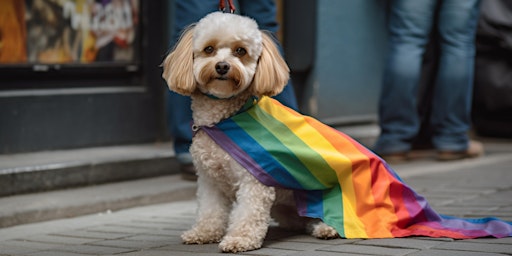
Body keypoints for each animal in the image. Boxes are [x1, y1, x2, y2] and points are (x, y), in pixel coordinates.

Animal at [162, 11, 338, 252]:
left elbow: (248, 213)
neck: (222, 120)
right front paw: (204, 233)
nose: (222, 66)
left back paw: (326, 228)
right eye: (209, 49)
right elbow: (210, 210)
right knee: (301, 220)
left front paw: (239, 239)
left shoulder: (255, 180)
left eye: (240, 51)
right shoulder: (209, 180)